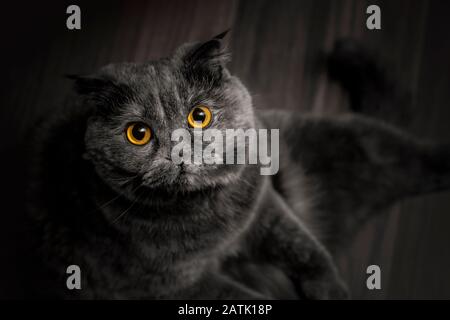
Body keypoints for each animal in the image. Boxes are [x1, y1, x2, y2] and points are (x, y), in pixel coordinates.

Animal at [27, 33, 450, 300]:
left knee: (418, 154)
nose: (180, 152)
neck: (214, 221)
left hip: (356, 145)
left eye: (199, 115)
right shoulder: (166, 286)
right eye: (138, 133)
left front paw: (330, 291)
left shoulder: (264, 207)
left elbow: (306, 250)